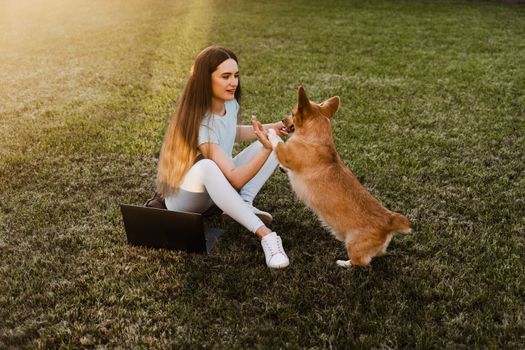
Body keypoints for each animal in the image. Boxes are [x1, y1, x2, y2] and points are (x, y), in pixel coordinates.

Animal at [268, 87, 412, 268]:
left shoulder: (287, 153)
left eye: (292, 113)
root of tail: (389, 220)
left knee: (361, 262)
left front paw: (268, 131)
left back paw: (343, 263)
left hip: (353, 244)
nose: (282, 120)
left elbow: (278, 143)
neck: (315, 137)